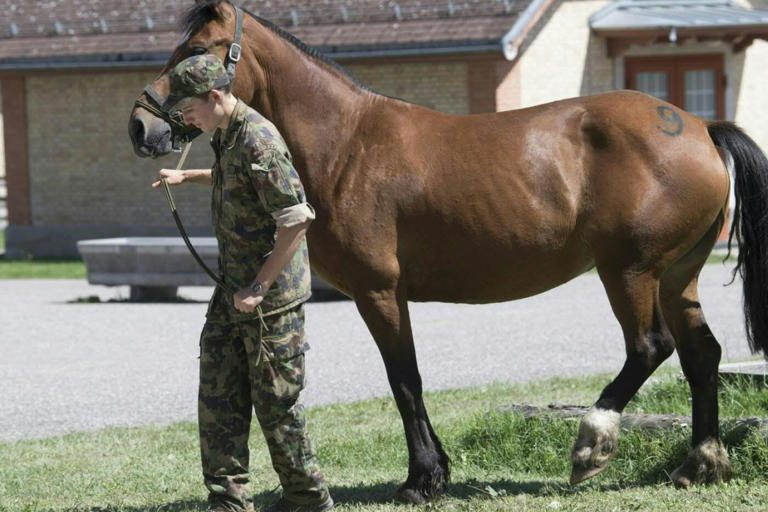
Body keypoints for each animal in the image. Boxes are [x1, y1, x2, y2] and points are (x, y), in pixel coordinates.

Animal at [129, 0, 768, 502]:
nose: (140, 127)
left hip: (629, 272)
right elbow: (408, 378)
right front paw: (435, 471)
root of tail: (699, 127)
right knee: (702, 356)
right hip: (677, 276)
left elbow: (404, 379)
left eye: (197, 49)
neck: (348, 144)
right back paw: (700, 463)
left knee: (650, 347)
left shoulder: (379, 292)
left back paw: (592, 444)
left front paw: (422, 479)